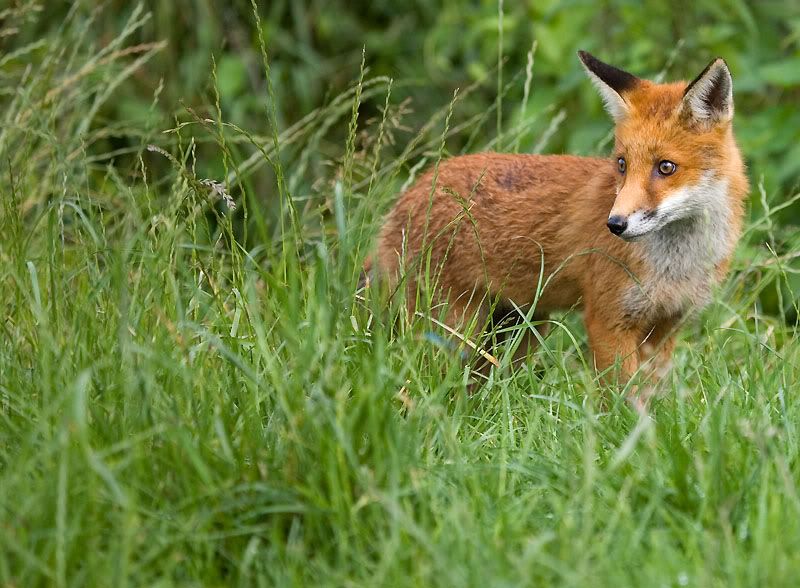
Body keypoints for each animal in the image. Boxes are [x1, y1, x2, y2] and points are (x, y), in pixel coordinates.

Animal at [371, 51, 749, 394]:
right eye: (622, 164)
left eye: (666, 167)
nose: (615, 224)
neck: (677, 264)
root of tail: (411, 192)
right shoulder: (607, 320)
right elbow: (622, 400)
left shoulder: (666, 326)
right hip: (452, 330)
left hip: (518, 330)